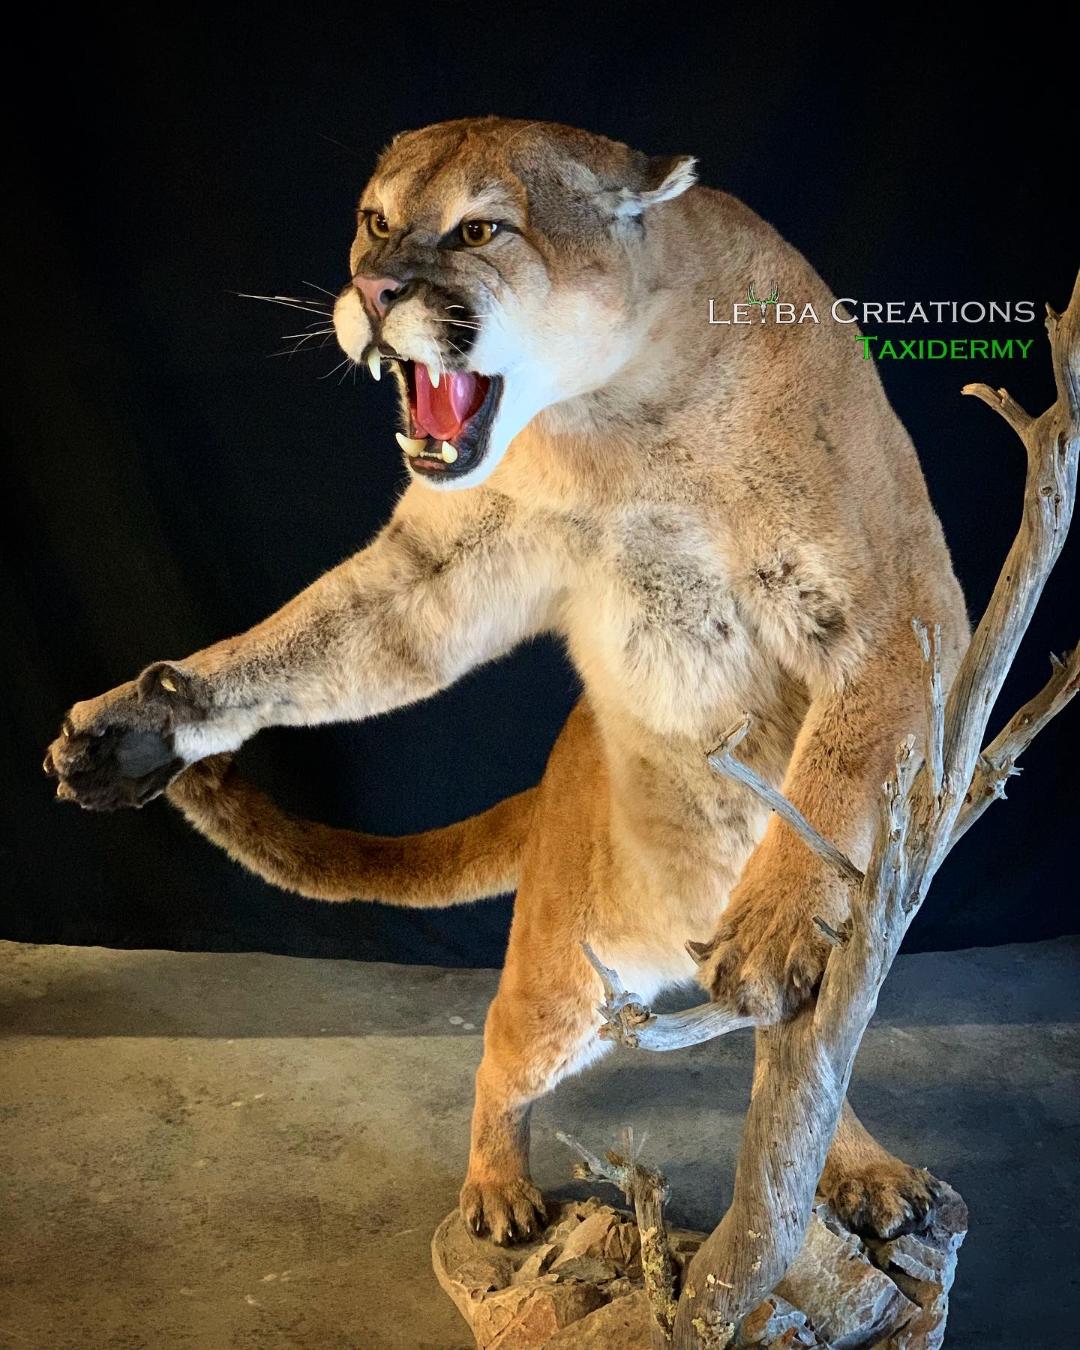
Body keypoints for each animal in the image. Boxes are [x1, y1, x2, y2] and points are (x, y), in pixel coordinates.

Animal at [44, 116, 967, 1245]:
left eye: (479, 231)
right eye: (374, 222)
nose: (375, 290)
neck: (616, 413)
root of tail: (566, 759)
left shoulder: (899, 608)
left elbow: (836, 762)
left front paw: (780, 914)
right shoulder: (450, 563)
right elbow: (325, 641)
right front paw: (146, 723)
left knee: (805, 1056)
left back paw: (858, 1161)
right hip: (575, 972)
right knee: (502, 1045)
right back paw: (497, 1187)